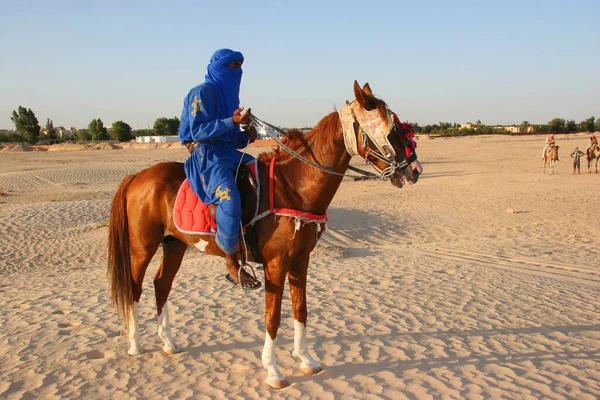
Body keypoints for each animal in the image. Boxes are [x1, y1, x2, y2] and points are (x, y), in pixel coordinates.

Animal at [106, 81, 422, 388]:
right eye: (390, 129)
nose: (415, 170)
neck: (293, 187)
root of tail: (137, 177)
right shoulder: (275, 264)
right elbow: (273, 317)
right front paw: (273, 371)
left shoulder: (301, 261)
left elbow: (300, 309)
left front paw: (306, 359)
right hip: (143, 246)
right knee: (134, 287)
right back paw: (135, 345)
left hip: (174, 244)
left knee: (161, 285)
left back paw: (169, 343)